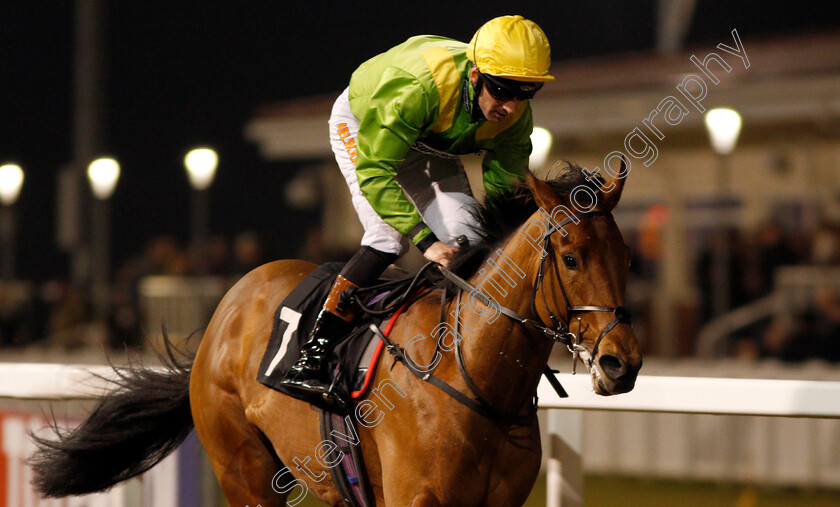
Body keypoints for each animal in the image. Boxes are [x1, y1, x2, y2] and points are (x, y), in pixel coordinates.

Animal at [29, 166, 640, 504]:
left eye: (627, 256)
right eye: (571, 257)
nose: (622, 364)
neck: (473, 378)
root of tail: (228, 306)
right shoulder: (417, 499)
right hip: (243, 471)